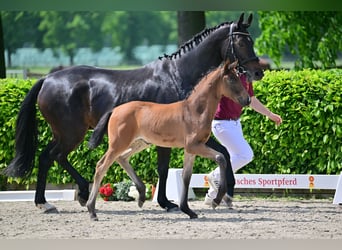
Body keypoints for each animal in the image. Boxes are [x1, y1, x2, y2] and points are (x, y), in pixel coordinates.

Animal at [4, 13, 264, 213]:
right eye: (242, 42)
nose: (258, 72)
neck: (178, 76)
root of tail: (47, 79)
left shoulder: (193, 137)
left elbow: (225, 154)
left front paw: (224, 194)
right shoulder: (171, 138)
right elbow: (163, 168)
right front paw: (166, 202)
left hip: (65, 133)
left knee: (50, 157)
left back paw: (60, 198)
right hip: (71, 133)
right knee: (52, 157)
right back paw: (60, 199)